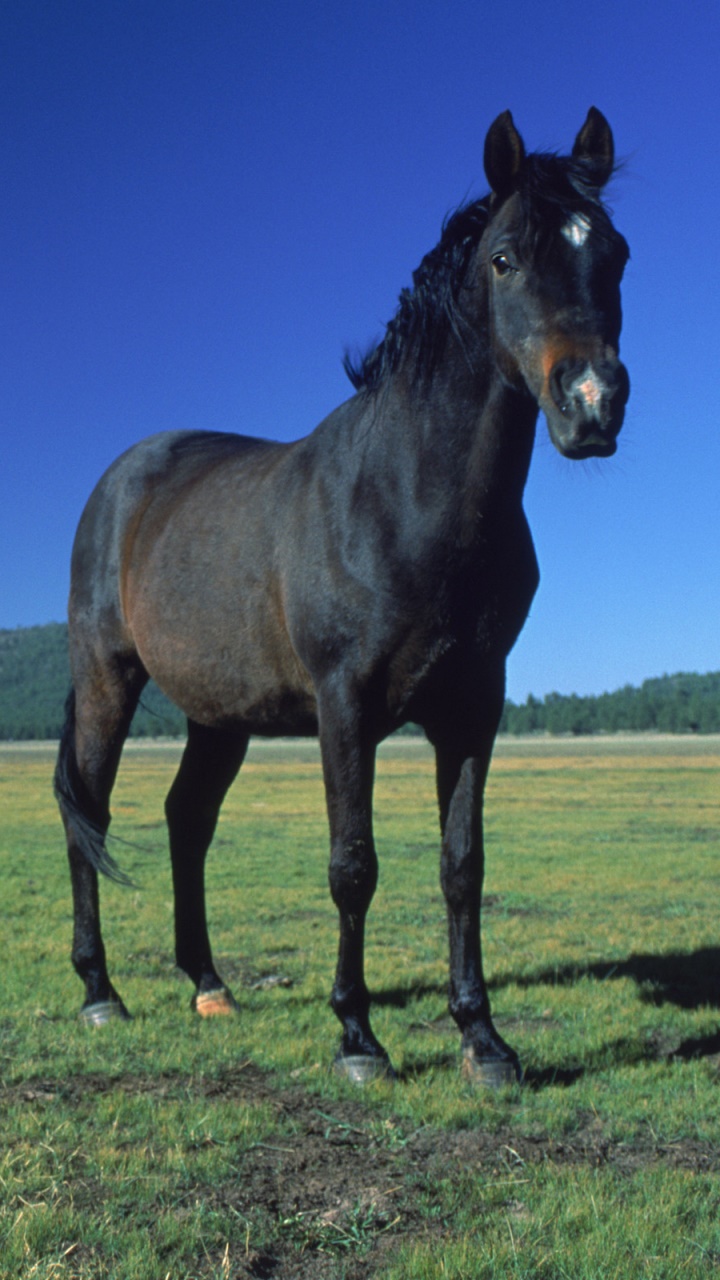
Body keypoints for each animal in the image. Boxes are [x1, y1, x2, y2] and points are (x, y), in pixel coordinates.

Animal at [55, 108, 630, 1086]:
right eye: (506, 258)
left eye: (617, 252)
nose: (591, 402)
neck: (407, 498)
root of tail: (122, 480)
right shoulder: (345, 705)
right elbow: (352, 866)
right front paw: (358, 1037)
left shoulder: (474, 707)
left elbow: (462, 865)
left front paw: (483, 1040)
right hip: (108, 680)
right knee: (87, 813)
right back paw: (99, 992)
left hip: (219, 714)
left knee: (186, 820)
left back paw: (208, 984)